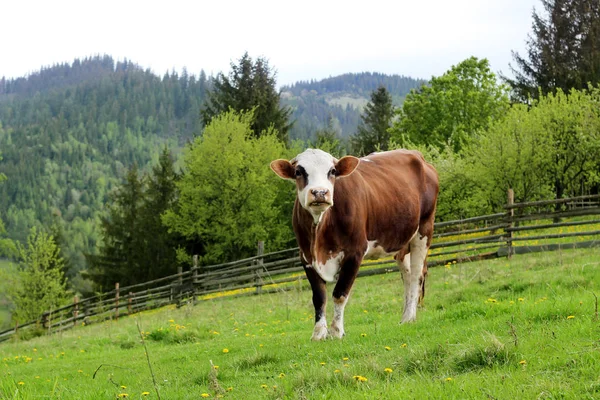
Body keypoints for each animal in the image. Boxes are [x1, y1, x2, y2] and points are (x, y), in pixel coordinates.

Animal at [270, 149, 438, 340]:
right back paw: (404, 317)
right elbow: (319, 297)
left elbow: (340, 293)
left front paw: (336, 331)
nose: (320, 192)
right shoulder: (306, 257)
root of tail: (417, 155)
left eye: (332, 171)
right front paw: (318, 333)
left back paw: (410, 317)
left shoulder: (354, 252)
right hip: (401, 240)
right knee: (408, 276)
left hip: (424, 229)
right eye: (299, 171)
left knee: (417, 274)